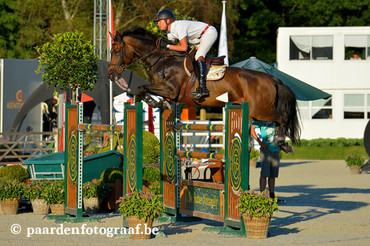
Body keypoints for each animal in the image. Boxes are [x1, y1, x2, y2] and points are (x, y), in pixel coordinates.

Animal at [107, 25, 300, 152]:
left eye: (116, 51)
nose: (111, 75)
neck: (162, 60)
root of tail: (272, 79)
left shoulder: (170, 90)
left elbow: (141, 88)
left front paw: (160, 104)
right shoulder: (168, 92)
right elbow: (143, 90)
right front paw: (162, 105)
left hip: (258, 111)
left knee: (282, 117)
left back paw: (282, 143)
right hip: (254, 110)